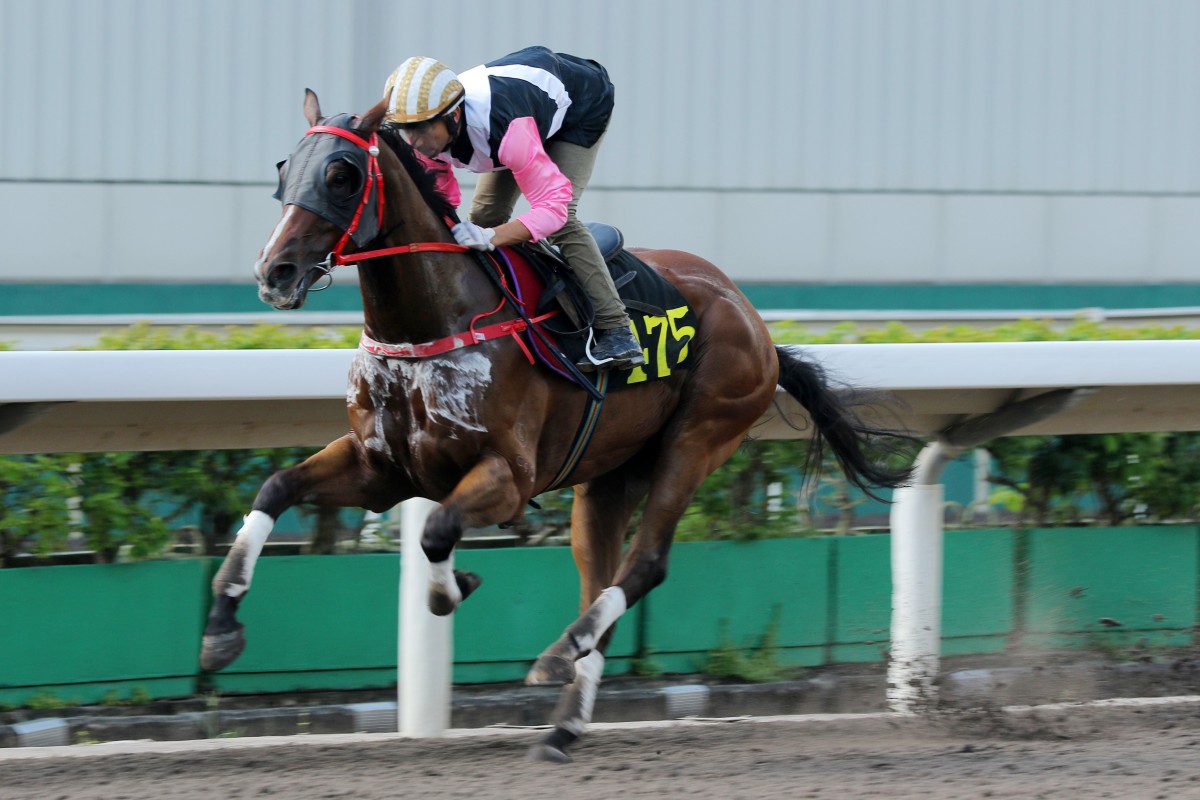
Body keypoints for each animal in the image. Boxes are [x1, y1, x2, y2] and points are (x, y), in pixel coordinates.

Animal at [199, 92, 907, 762]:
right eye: (286, 168)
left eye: (342, 175)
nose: (274, 271)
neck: (429, 323)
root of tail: (755, 322)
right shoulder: (383, 468)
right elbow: (276, 488)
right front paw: (220, 628)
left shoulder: (508, 477)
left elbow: (436, 530)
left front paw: (452, 589)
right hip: (608, 478)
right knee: (604, 579)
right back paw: (564, 725)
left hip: (700, 435)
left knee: (645, 564)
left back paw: (562, 652)